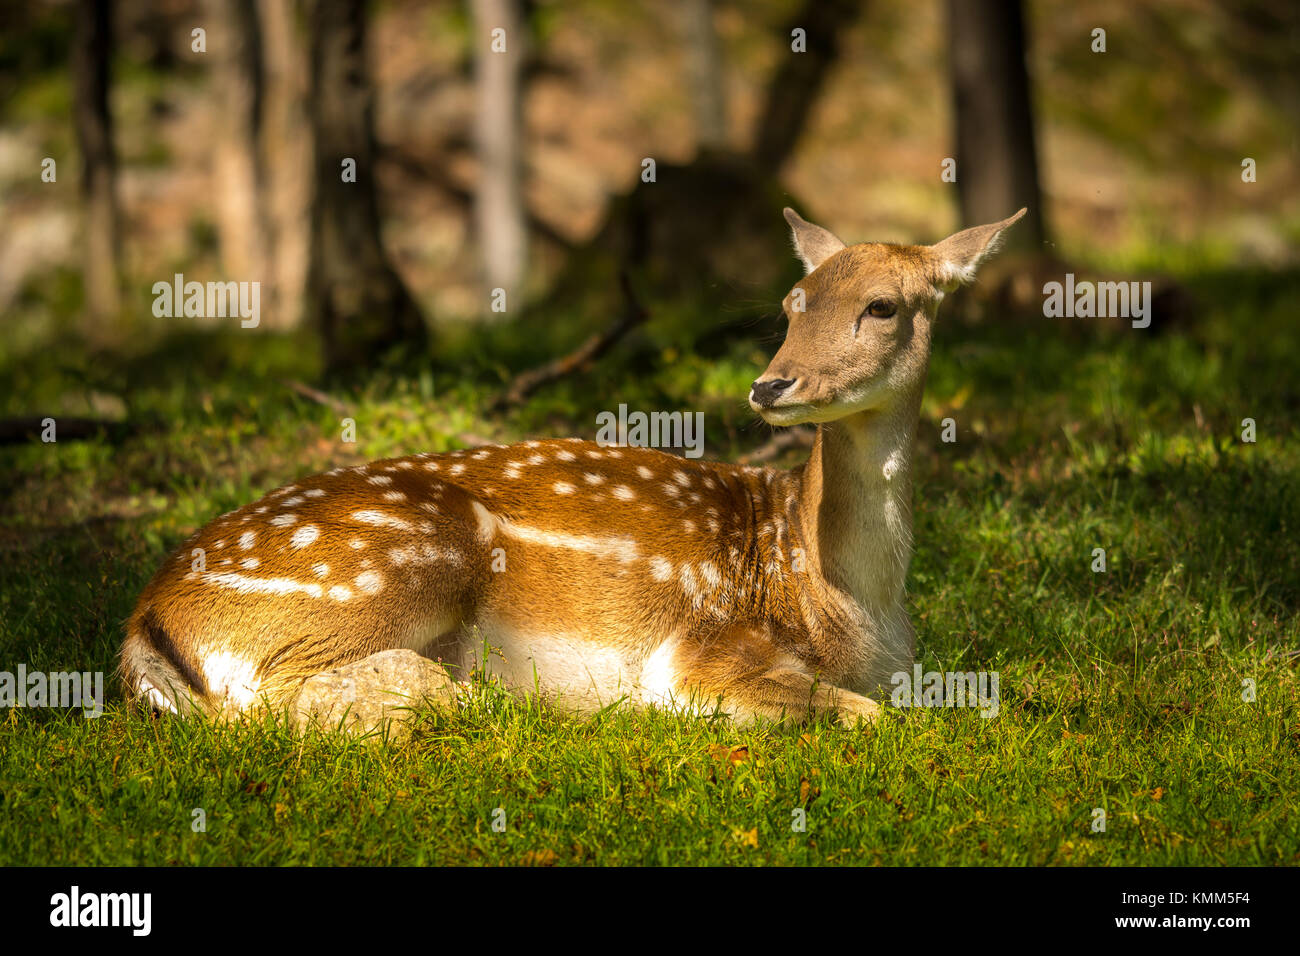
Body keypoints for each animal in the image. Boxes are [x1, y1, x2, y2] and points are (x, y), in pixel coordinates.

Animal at [126, 204, 1029, 723]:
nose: (771, 384)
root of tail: (148, 615)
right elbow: (875, 718)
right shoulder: (707, 649)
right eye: (789, 304)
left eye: (883, 306)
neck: (841, 600)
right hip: (387, 568)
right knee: (304, 698)